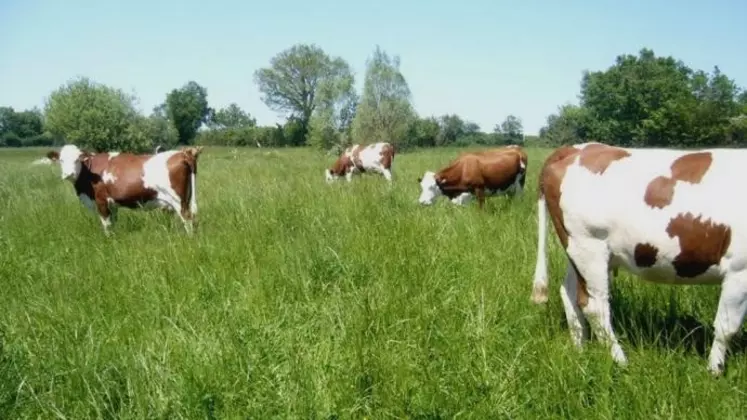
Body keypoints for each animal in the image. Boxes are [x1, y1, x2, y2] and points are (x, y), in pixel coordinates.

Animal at [51, 144, 205, 236]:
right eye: (61, 160)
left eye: (77, 159)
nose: (68, 174)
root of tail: (183, 153)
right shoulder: (112, 204)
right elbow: (113, 223)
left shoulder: (101, 201)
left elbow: (106, 224)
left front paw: (108, 241)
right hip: (186, 198)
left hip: (178, 200)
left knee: (188, 219)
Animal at [532, 142, 747, 378]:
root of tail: (578, 148)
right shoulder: (739, 270)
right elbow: (727, 327)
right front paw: (714, 372)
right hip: (588, 247)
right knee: (594, 306)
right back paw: (620, 362)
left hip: (578, 252)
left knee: (569, 293)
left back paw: (580, 349)